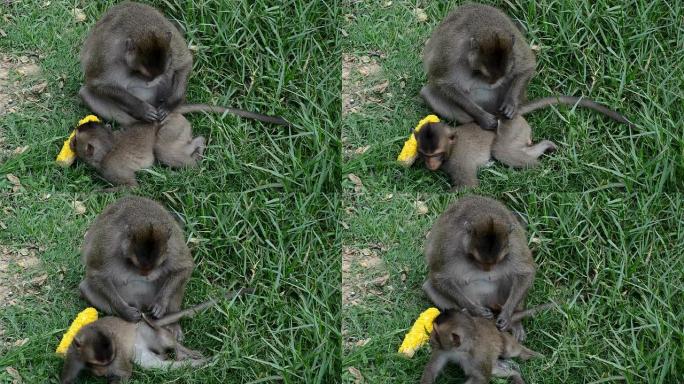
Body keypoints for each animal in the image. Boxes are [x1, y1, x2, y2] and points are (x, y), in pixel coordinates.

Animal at [61, 290, 251, 382]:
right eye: (95, 363)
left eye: (108, 361)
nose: (101, 374)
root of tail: (138, 324)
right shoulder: (74, 355)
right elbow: (66, 378)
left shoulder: (118, 357)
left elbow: (126, 373)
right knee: (159, 365)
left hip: (151, 332)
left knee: (167, 341)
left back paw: (183, 351)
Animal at [420, 306, 548, 384]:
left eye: (436, 332)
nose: (430, 337)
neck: (461, 350)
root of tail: (492, 322)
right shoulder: (444, 349)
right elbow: (433, 367)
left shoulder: (478, 359)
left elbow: (481, 378)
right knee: (496, 370)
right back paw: (515, 374)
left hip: (502, 337)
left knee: (510, 351)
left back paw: (533, 356)